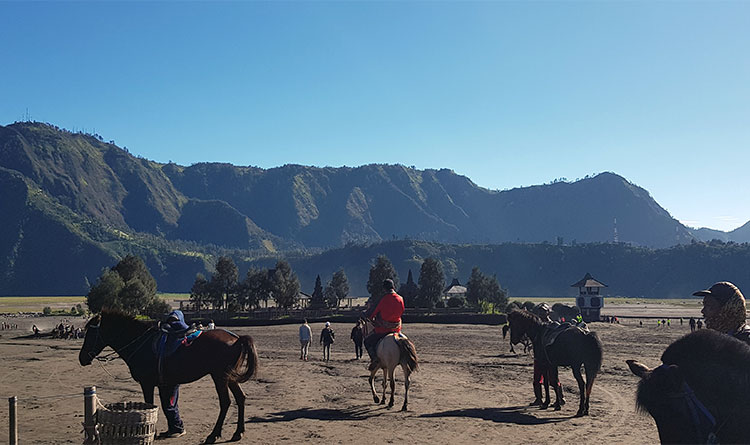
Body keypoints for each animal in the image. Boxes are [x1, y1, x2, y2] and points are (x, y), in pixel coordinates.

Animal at [79, 308, 260, 444]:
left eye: (91, 334)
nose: (82, 358)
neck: (140, 343)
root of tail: (237, 339)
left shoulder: (147, 383)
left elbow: (150, 403)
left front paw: (152, 432)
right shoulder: (164, 384)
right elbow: (167, 406)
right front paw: (171, 430)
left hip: (220, 377)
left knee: (225, 402)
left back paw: (213, 435)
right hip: (230, 378)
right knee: (240, 398)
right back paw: (238, 433)